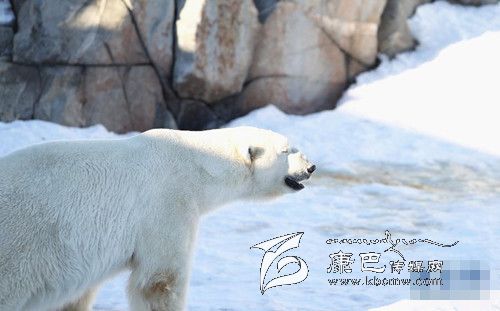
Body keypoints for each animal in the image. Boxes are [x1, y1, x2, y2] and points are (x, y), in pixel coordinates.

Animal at [0, 127, 316, 311]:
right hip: (19, 251)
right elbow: (159, 280)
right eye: (287, 151)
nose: (311, 167)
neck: (198, 163)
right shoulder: (167, 204)